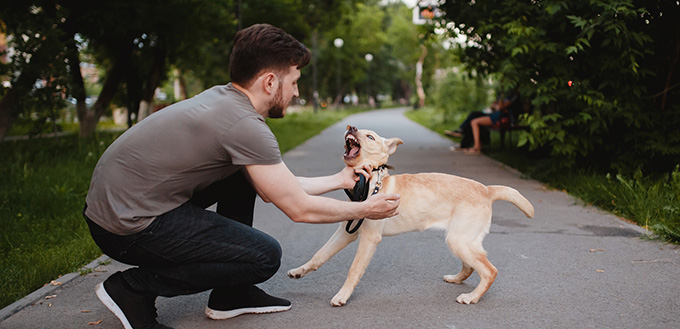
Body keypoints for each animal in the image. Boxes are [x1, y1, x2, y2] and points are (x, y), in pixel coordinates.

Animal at [286, 125, 532, 304]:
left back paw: (472, 297)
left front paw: (342, 296)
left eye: (370, 136)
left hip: (459, 239)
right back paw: (456, 279)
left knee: (489, 270)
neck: (370, 180)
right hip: (461, 240)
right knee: (472, 265)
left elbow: (353, 269)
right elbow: (320, 255)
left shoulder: (369, 237)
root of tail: (487, 189)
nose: (351, 127)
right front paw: (300, 271)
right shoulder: (347, 231)